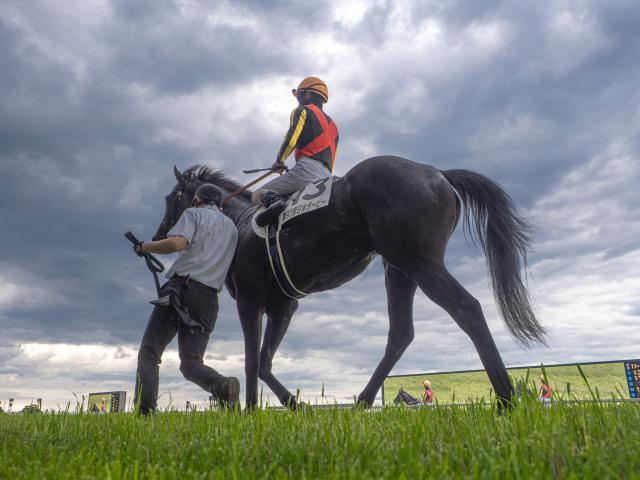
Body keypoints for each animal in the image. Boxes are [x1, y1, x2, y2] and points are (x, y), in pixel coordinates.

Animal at [153, 155, 545, 409]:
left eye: (172, 198)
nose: (159, 236)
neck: (238, 222)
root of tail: (436, 173)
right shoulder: (283, 304)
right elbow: (264, 362)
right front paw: (293, 404)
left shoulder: (250, 301)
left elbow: (252, 361)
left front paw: (250, 412)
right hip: (399, 271)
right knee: (400, 333)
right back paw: (362, 403)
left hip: (420, 263)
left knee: (467, 309)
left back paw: (506, 400)